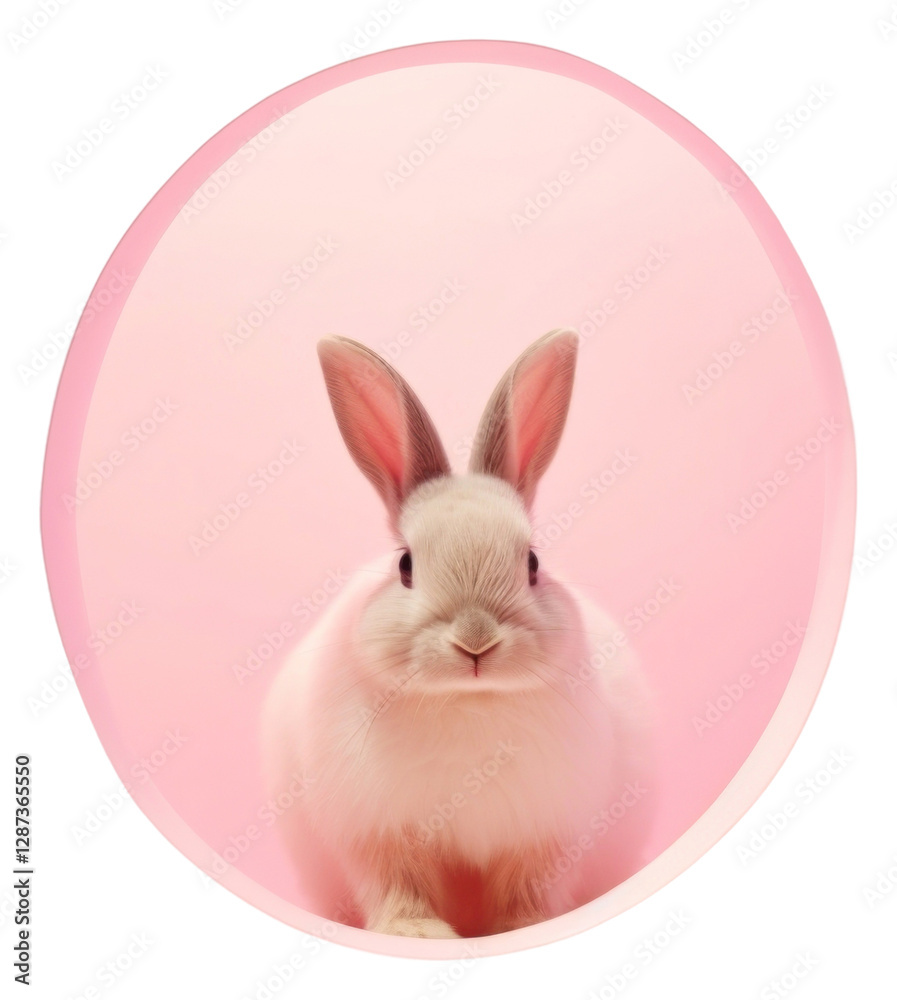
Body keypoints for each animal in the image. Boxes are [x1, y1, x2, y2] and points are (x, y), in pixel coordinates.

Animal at [261, 329, 655, 939]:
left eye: (533, 563)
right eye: (405, 565)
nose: (476, 642)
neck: (468, 701)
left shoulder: (543, 834)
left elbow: (526, 886)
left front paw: (519, 927)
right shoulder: (379, 833)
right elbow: (399, 885)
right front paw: (416, 933)